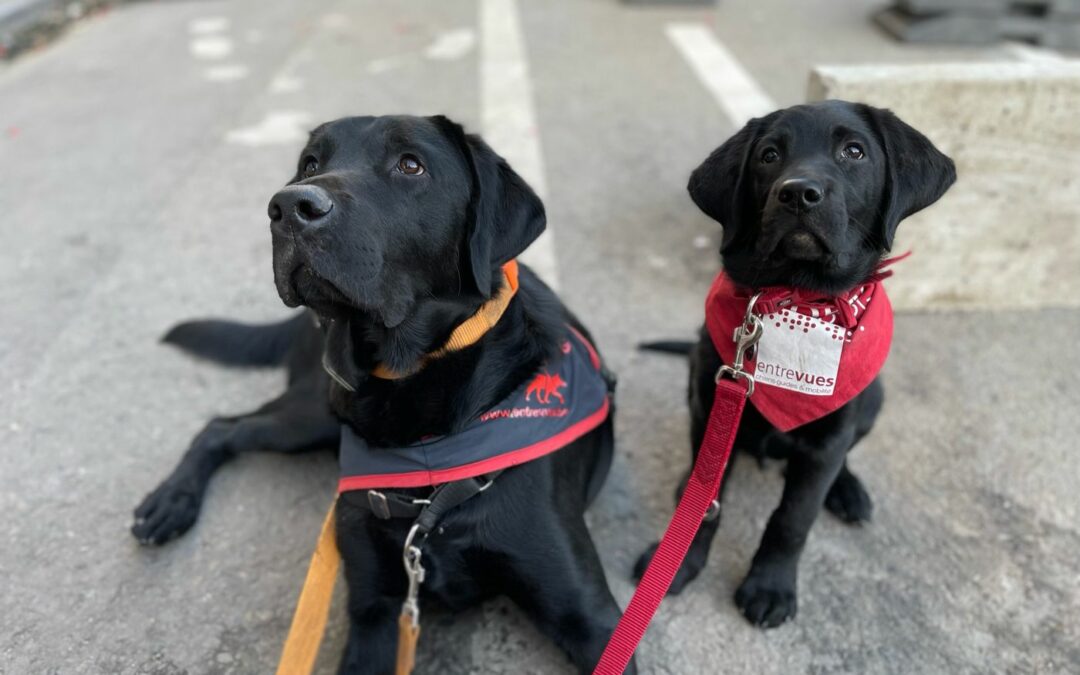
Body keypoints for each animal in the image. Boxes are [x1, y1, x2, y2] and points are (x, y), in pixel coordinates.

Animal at [130, 115, 630, 673]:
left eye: (410, 165)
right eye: (311, 163)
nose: (289, 207)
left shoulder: (591, 619)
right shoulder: (372, 610)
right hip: (315, 411)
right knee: (223, 427)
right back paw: (169, 503)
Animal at [635, 99, 959, 626]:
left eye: (854, 151)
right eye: (769, 155)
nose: (798, 194)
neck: (796, 303)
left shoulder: (827, 441)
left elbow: (793, 518)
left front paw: (770, 586)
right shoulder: (714, 408)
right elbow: (706, 502)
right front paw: (679, 564)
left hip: (873, 400)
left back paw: (847, 491)